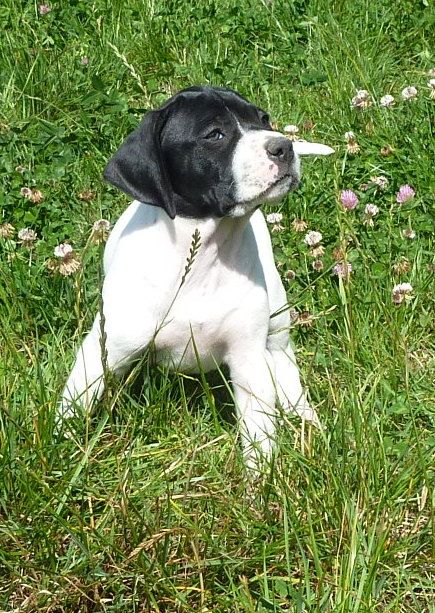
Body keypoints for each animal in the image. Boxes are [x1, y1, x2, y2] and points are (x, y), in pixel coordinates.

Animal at [60, 86, 333, 469]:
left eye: (263, 120)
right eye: (215, 135)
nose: (284, 146)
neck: (204, 255)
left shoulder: (249, 358)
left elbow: (259, 432)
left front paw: (261, 480)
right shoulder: (105, 350)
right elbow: (75, 402)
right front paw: (61, 452)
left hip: (276, 329)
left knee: (286, 370)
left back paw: (307, 421)